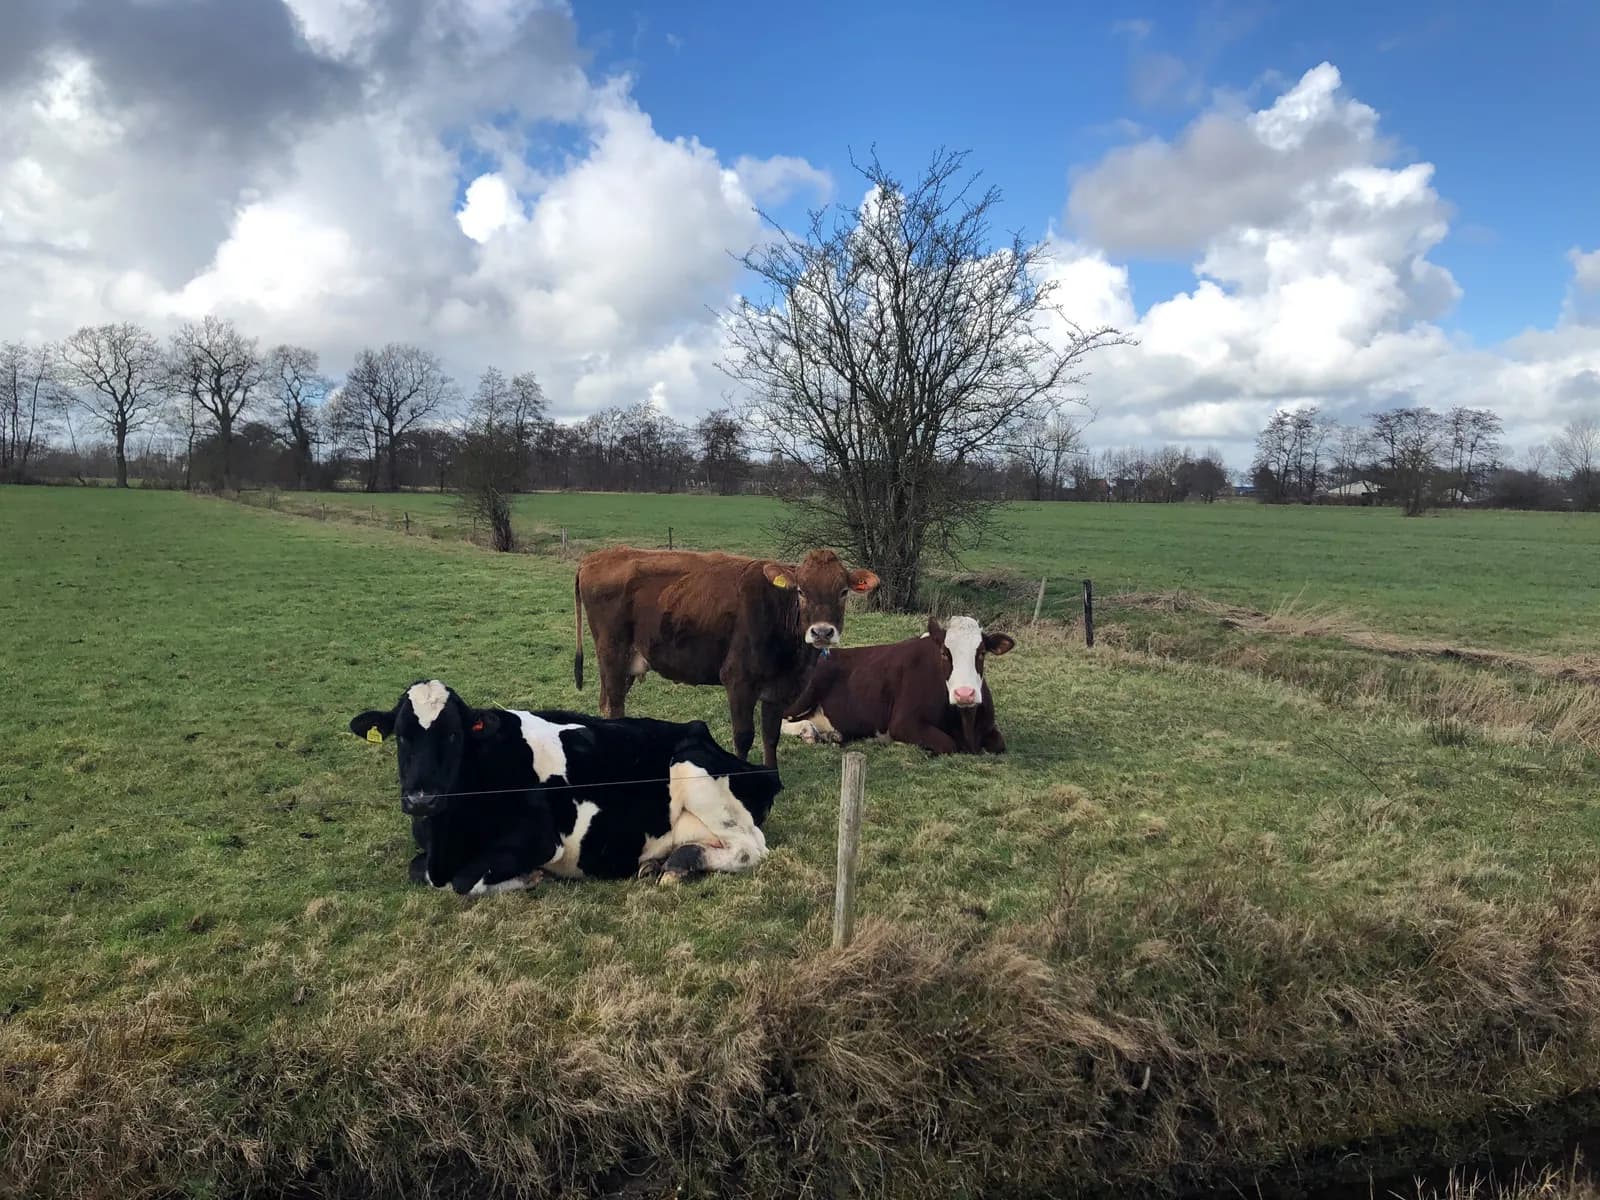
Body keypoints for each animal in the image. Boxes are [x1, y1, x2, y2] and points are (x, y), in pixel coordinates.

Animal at [348, 679, 782, 894]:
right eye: (402, 737)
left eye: (454, 735)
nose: (421, 799)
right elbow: (417, 870)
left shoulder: (541, 840)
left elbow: (461, 881)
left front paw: (528, 878)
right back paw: (661, 862)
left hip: (695, 772)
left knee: (750, 847)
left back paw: (679, 865)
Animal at [573, 547, 880, 768]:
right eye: (801, 591)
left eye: (843, 592)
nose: (822, 632)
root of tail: (598, 556)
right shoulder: (739, 680)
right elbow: (743, 737)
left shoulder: (779, 689)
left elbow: (771, 735)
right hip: (613, 653)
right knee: (613, 706)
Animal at [779, 615, 1015, 755]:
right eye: (944, 653)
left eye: (981, 653)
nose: (964, 694)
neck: (966, 724)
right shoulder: (904, 723)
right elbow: (947, 744)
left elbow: (1000, 743)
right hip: (806, 694)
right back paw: (807, 731)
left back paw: (829, 735)